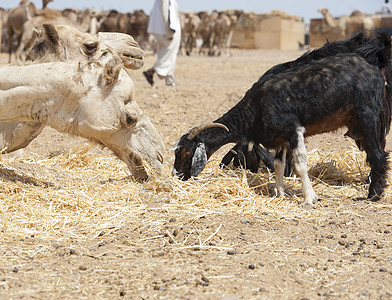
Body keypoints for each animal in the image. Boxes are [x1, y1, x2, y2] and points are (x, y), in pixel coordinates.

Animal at [174, 48, 388, 209]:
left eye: (187, 152)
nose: (177, 175)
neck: (255, 108)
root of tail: (373, 68)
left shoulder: (294, 130)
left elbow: (300, 164)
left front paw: (309, 199)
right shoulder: (280, 139)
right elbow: (278, 165)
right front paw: (280, 194)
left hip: (367, 114)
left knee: (378, 153)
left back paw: (374, 194)